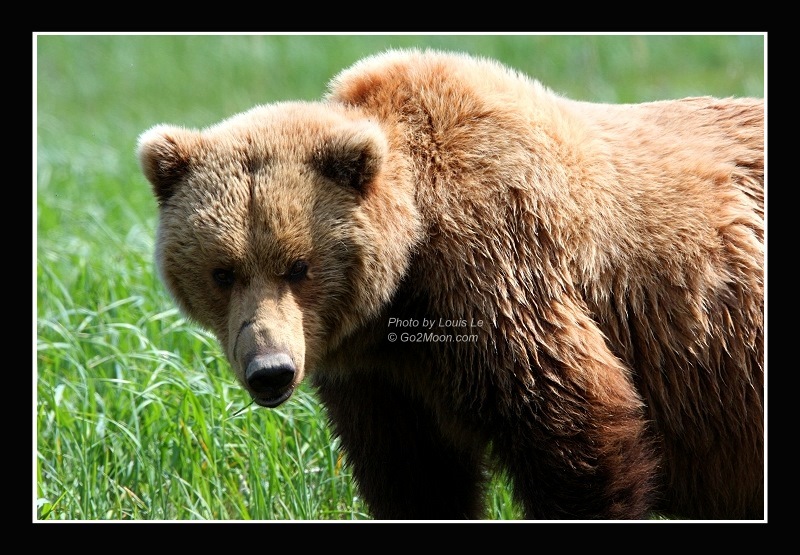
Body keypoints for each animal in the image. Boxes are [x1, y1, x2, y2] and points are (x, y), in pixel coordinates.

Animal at [137, 49, 764, 520]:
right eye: (223, 271)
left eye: (299, 266)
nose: (271, 370)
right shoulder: (382, 380)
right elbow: (415, 477)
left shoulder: (501, 278)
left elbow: (580, 438)